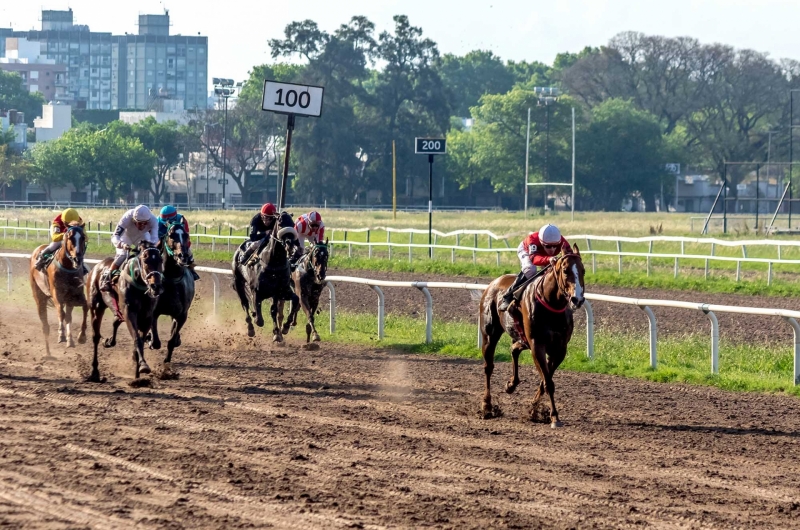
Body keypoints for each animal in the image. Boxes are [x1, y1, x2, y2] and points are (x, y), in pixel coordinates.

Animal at [29, 223, 88, 354]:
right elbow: (61, 312)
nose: (77, 259)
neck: (68, 268)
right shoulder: (57, 295)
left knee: (68, 316)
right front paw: (61, 335)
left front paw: (81, 336)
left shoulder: (76, 295)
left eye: (83, 237)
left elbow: (85, 308)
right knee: (45, 323)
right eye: (70, 238)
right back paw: (48, 352)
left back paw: (70, 341)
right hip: (38, 296)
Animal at [86, 241, 165, 382]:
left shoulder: (147, 316)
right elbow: (137, 339)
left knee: (116, 320)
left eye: (160, 260)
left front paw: (138, 372)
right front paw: (142, 365)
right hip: (96, 307)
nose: (156, 286)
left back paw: (110, 341)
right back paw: (95, 372)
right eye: (145, 260)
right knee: (95, 337)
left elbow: (140, 339)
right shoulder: (129, 313)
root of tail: (97, 267)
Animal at [149, 221, 196, 378]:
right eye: (171, 235)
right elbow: (156, 341)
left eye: (186, 235)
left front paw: (167, 364)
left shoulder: (182, 315)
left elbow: (171, 340)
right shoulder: (154, 312)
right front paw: (151, 340)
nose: (183, 256)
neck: (171, 280)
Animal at [234, 211, 304, 340]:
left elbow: (283, 306)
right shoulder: (256, 291)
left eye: (293, 224)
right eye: (280, 223)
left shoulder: (281, 291)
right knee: (245, 303)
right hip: (239, 283)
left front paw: (282, 329)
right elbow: (259, 319)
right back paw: (250, 328)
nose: (291, 244)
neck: (274, 262)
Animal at [478, 245, 584, 426]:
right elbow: (548, 382)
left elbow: (544, 380)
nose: (578, 299)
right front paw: (554, 417)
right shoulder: (537, 345)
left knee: (514, 349)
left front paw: (535, 409)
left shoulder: (560, 349)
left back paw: (511, 384)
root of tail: (494, 282)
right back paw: (487, 406)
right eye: (565, 270)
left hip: (521, 338)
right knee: (488, 367)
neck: (551, 304)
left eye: (583, 270)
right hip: (489, 335)